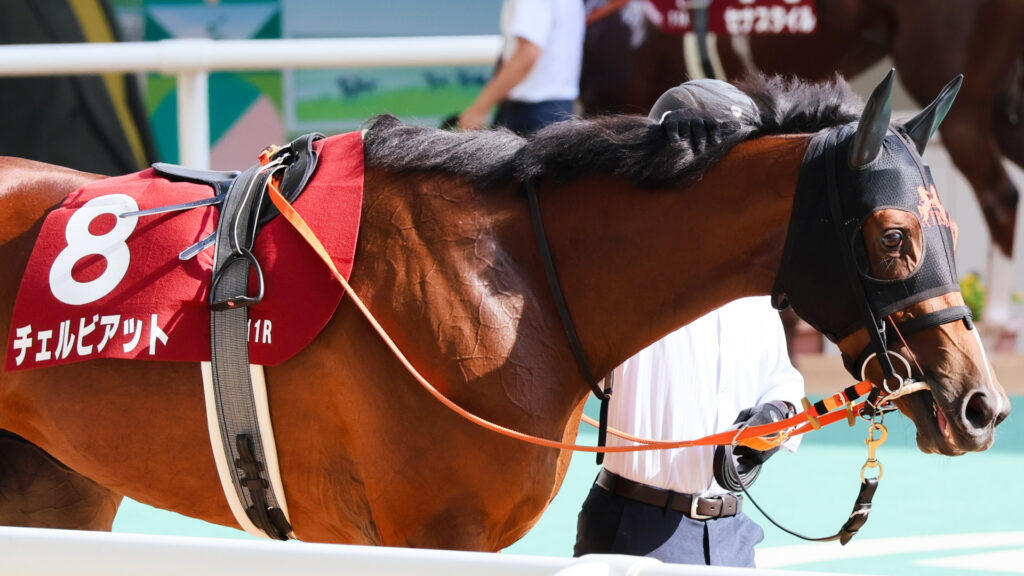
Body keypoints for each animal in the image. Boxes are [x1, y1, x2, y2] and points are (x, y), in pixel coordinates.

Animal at [0, 72, 1009, 551]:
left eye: (949, 227)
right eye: (891, 235)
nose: (980, 405)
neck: (510, 282)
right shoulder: (431, 533)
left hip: (58, 487)